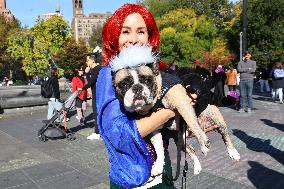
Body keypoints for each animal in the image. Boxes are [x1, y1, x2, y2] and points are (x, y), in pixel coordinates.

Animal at [110, 45, 210, 176]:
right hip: (179, 140)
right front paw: (158, 165)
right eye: (124, 84)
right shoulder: (155, 128)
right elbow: (158, 148)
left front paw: (203, 142)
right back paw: (196, 167)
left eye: (147, 80)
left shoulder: (183, 104)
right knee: (190, 149)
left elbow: (192, 123)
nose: (137, 87)